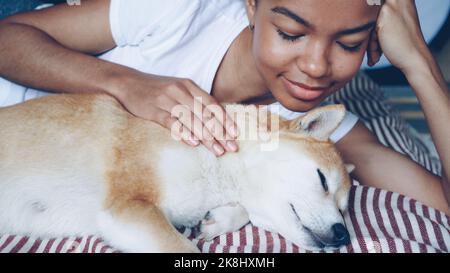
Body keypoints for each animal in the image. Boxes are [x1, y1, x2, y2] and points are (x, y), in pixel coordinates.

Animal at [0, 94, 356, 253]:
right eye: (323, 180)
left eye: (344, 208)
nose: (343, 234)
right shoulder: (127, 208)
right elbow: (184, 248)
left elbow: (238, 212)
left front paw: (217, 220)